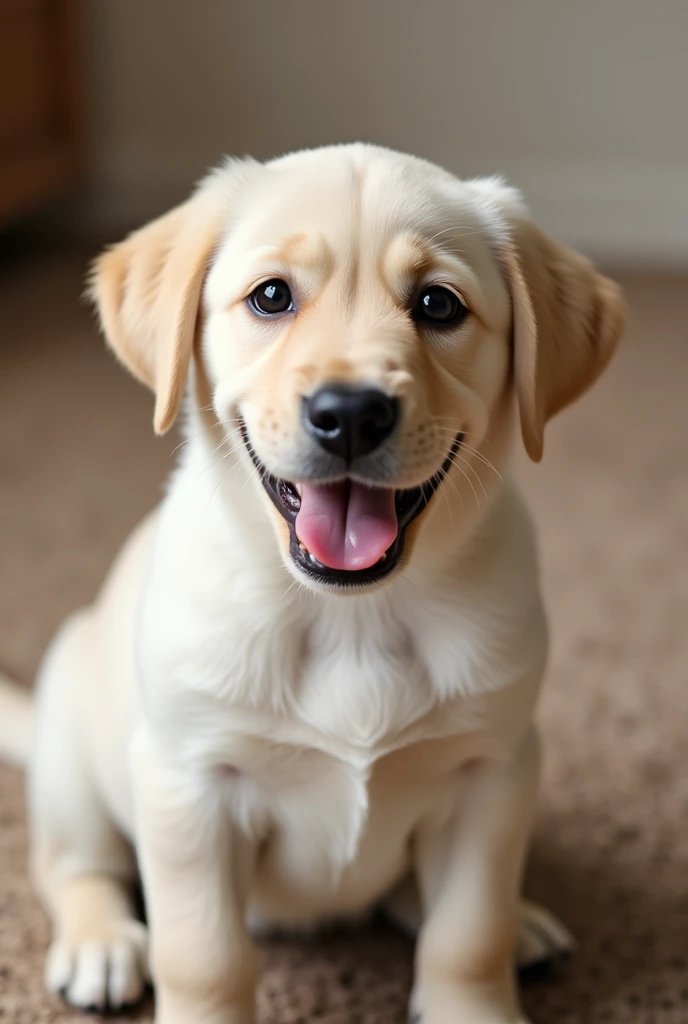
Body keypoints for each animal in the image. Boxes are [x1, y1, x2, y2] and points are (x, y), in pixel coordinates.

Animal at [0, 146, 622, 1024]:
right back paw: (102, 943)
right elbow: (204, 956)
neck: (349, 614)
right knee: (72, 868)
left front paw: (475, 1002)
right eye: (271, 297)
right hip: (73, 768)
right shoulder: (188, 781)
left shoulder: (493, 771)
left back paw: (523, 922)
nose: (352, 413)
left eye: (438, 304)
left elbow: (469, 931)